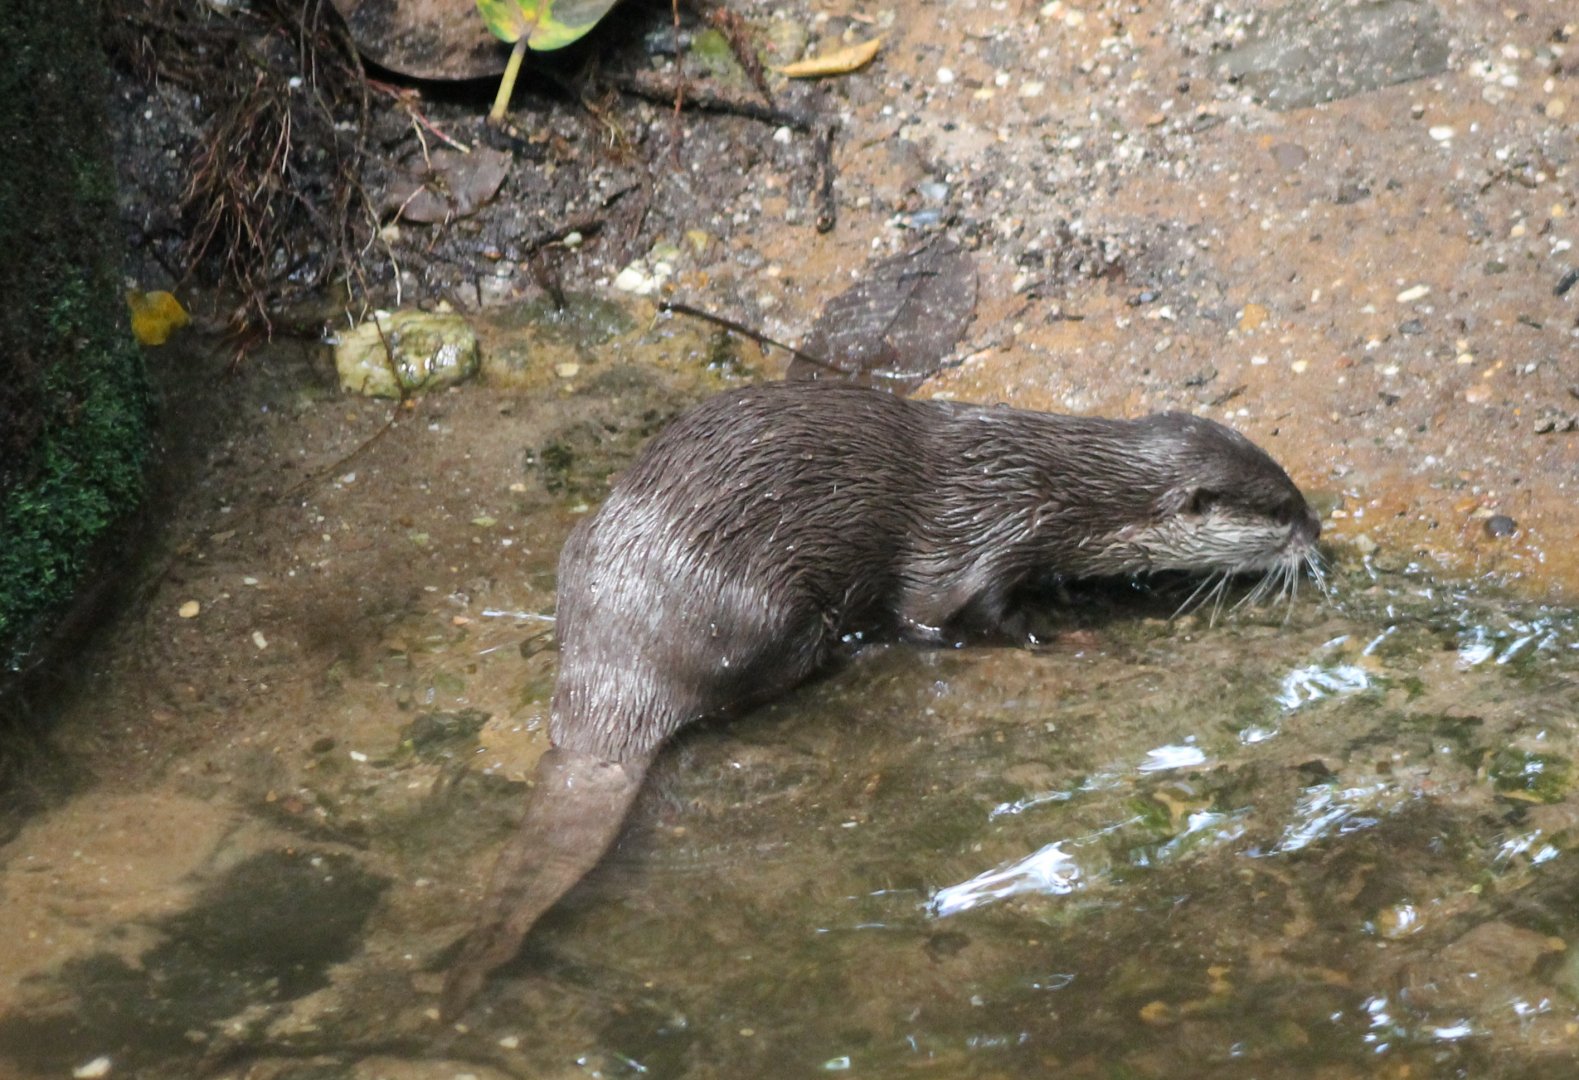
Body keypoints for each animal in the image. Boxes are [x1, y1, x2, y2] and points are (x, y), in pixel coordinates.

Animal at [440, 380, 1320, 1018]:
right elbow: (954, 623)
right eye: (1279, 509)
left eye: (1290, 487)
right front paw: (1068, 637)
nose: (1318, 530)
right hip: (761, 609)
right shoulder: (977, 545)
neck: (1053, 493)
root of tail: (618, 670)